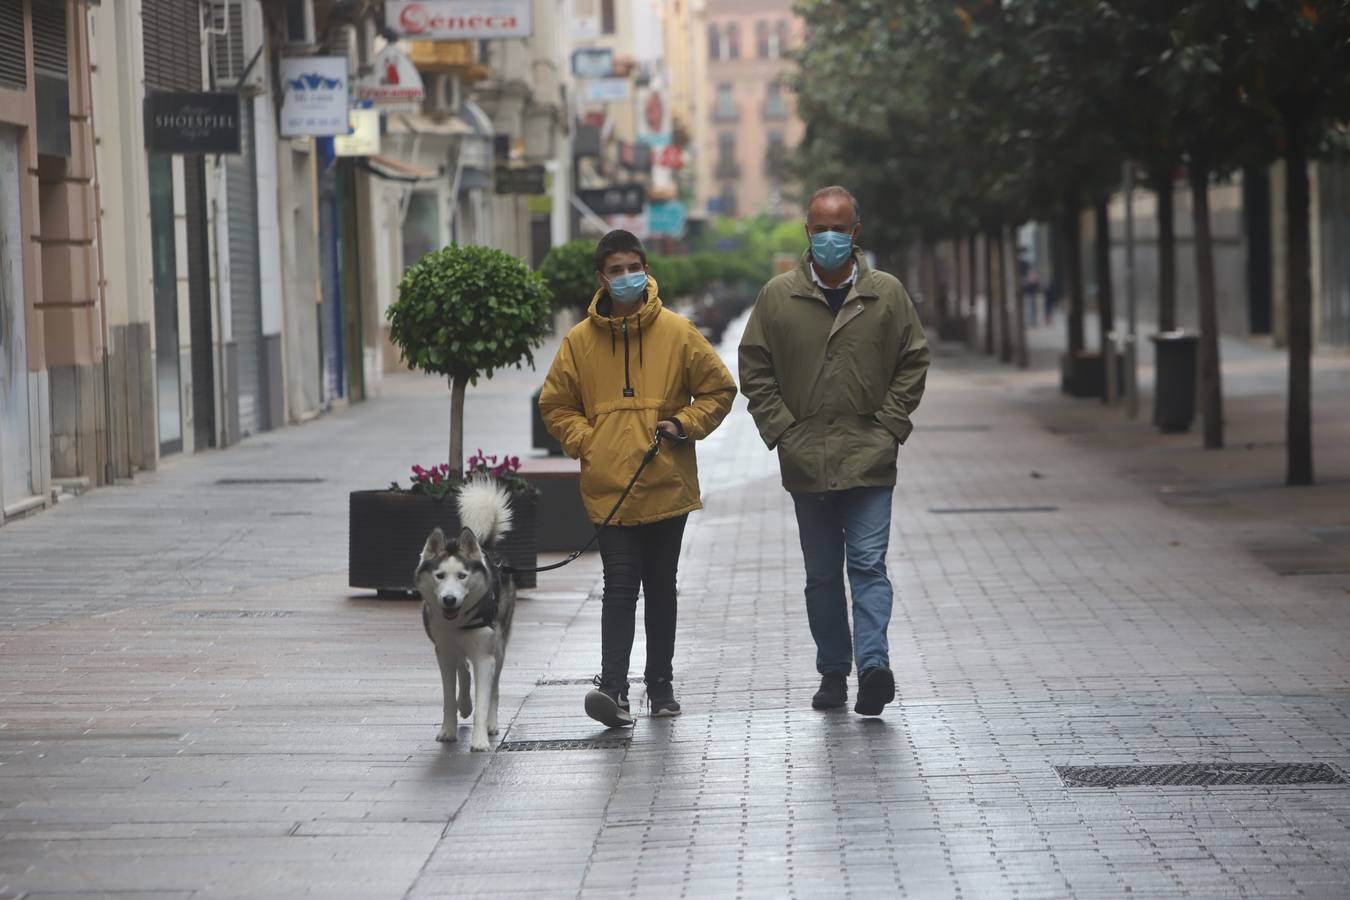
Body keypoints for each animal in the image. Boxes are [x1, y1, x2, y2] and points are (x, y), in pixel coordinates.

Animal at [413, 477, 513, 755]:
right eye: (439, 576)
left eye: (462, 576)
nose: (449, 599)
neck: (459, 621)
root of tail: (486, 549)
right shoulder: (443, 652)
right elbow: (449, 696)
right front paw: (448, 730)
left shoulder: (485, 656)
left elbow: (485, 697)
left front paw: (480, 740)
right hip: (450, 645)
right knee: (463, 669)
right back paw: (465, 704)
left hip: (499, 646)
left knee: (494, 687)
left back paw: (491, 723)